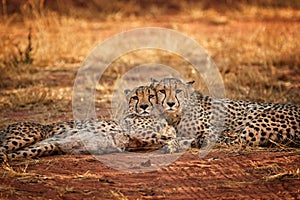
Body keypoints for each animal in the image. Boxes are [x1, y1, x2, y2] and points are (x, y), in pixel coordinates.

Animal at [0, 85, 176, 162]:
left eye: (151, 96)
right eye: (135, 97)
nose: (144, 106)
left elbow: (169, 134)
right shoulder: (138, 133)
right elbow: (167, 136)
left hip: (41, 147)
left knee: (10, 154)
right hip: (29, 135)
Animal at [152, 77, 300, 148]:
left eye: (178, 91)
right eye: (162, 91)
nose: (171, 104)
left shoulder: (211, 132)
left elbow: (205, 138)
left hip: (260, 120)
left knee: (235, 141)